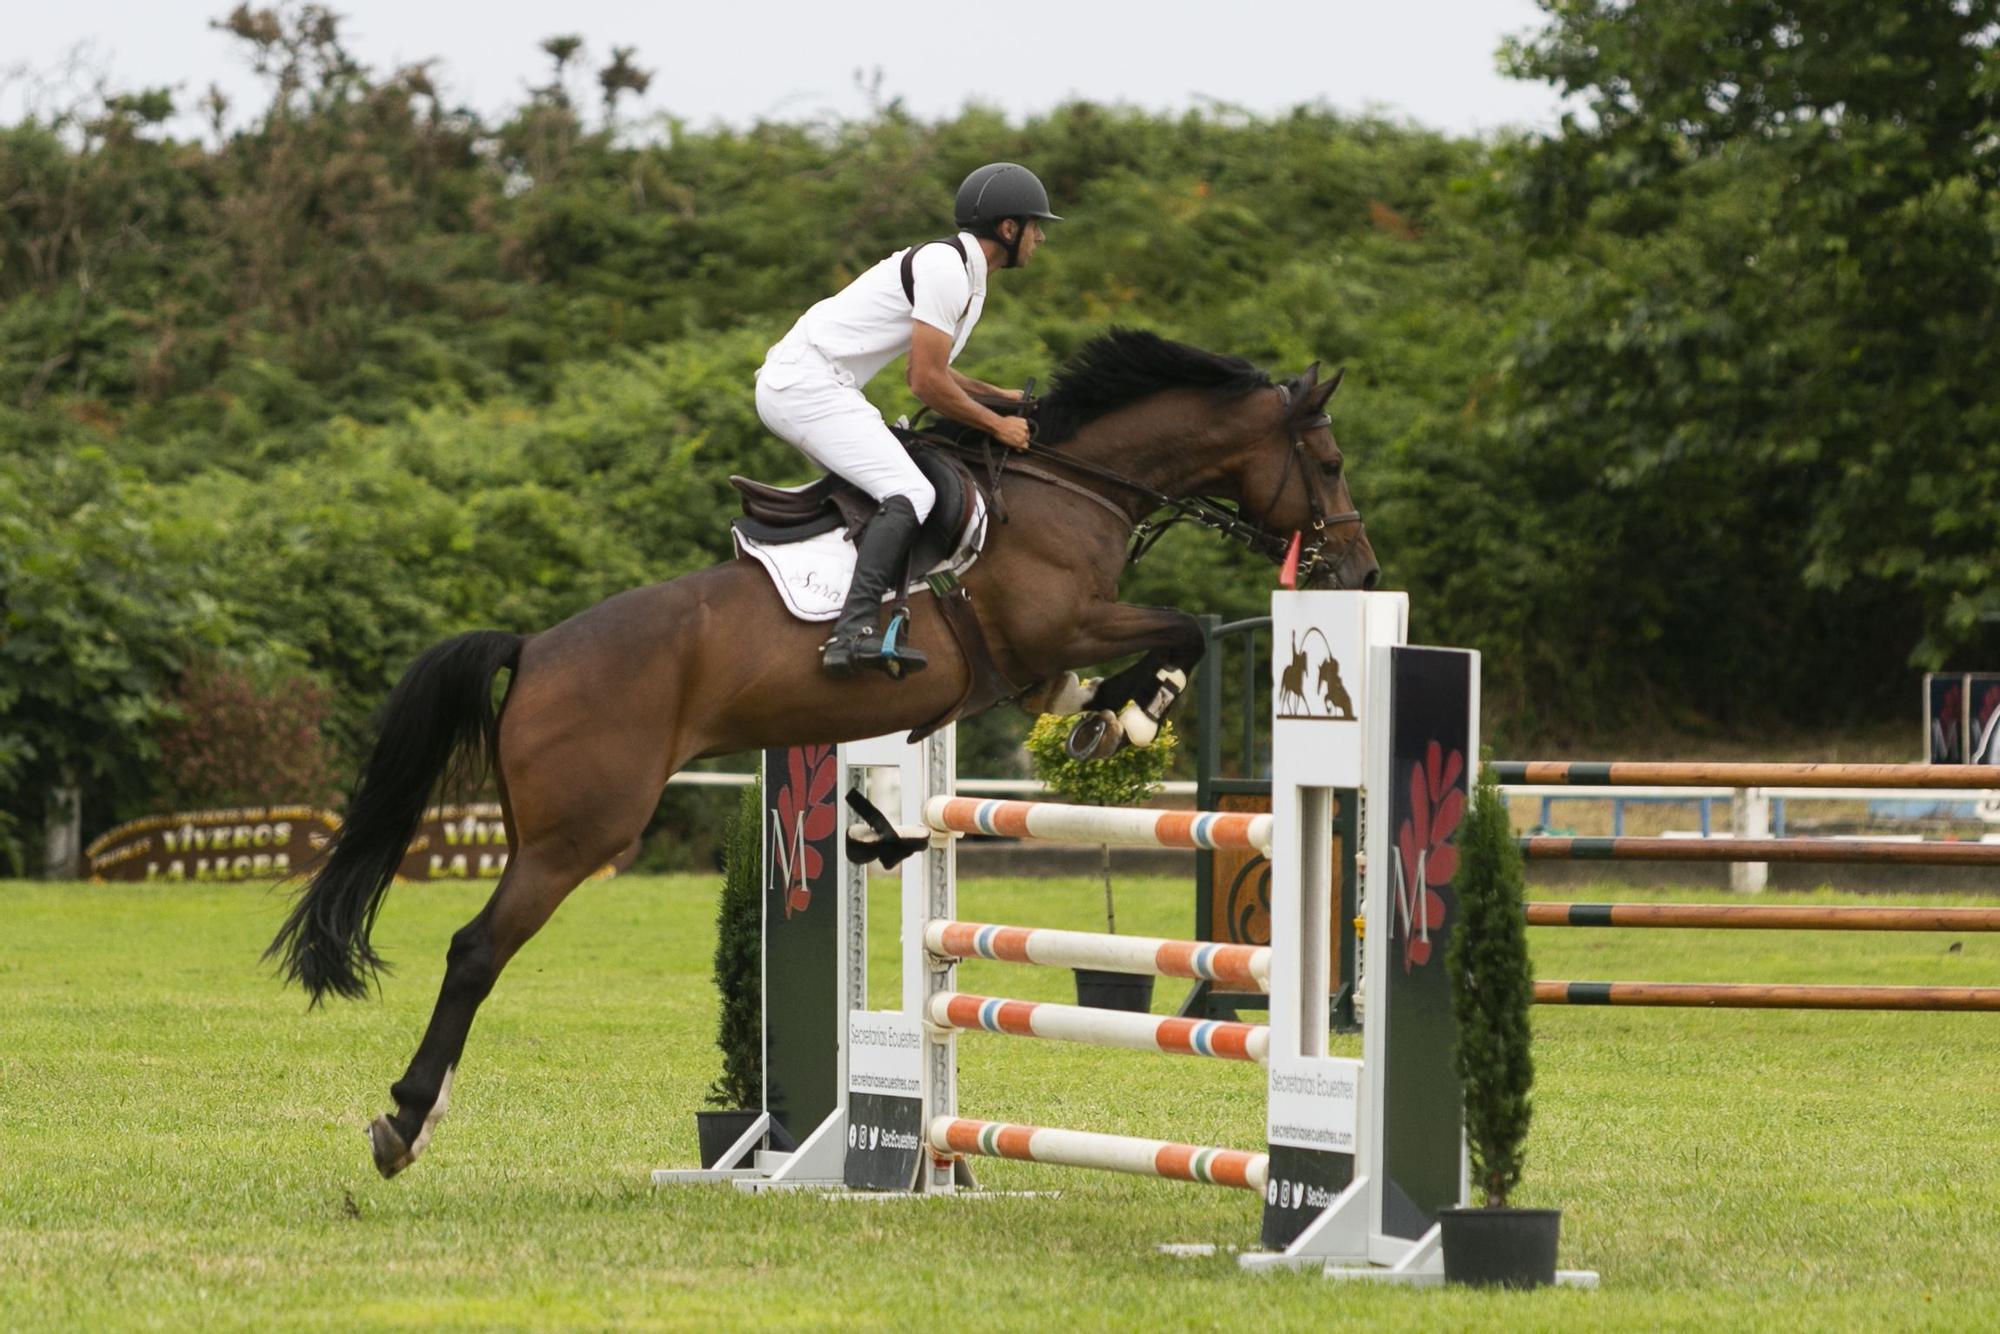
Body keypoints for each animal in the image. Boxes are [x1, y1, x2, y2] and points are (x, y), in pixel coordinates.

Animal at [270, 326, 1376, 1176]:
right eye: (1326, 462)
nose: (1359, 569)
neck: (1071, 486)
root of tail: (535, 647)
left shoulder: (1032, 666)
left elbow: (1105, 676)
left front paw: (1102, 718)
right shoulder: (1058, 626)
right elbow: (1184, 628)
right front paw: (1134, 714)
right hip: (578, 833)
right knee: (475, 950)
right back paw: (405, 1122)